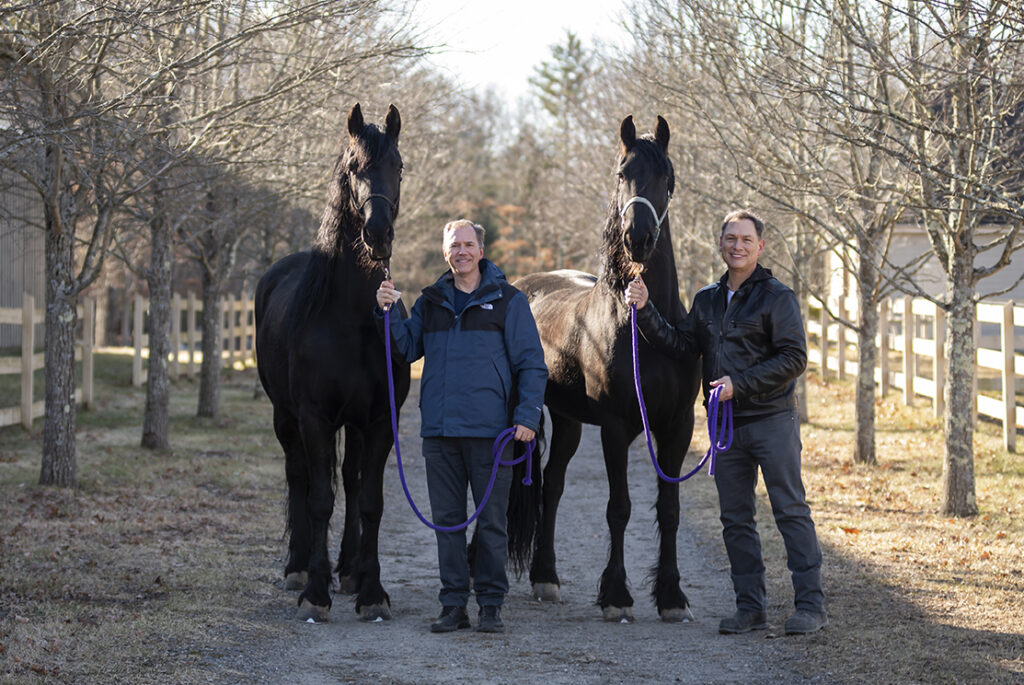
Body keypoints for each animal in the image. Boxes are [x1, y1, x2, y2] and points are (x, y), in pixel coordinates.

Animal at [252, 104, 407, 622]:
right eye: (353, 167)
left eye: (399, 166)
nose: (378, 235)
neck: (352, 318)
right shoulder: (314, 418)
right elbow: (319, 499)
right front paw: (316, 592)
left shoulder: (378, 421)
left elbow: (371, 501)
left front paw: (372, 590)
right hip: (286, 418)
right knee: (298, 476)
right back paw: (299, 568)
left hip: (355, 427)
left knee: (354, 484)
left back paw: (351, 570)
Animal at [516, 116, 700, 618]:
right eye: (622, 173)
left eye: (667, 176)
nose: (638, 237)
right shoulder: (617, 428)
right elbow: (619, 509)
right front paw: (616, 595)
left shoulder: (678, 427)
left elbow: (670, 509)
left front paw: (671, 596)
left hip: (568, 420)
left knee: (552, 485)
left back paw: (546, 578)